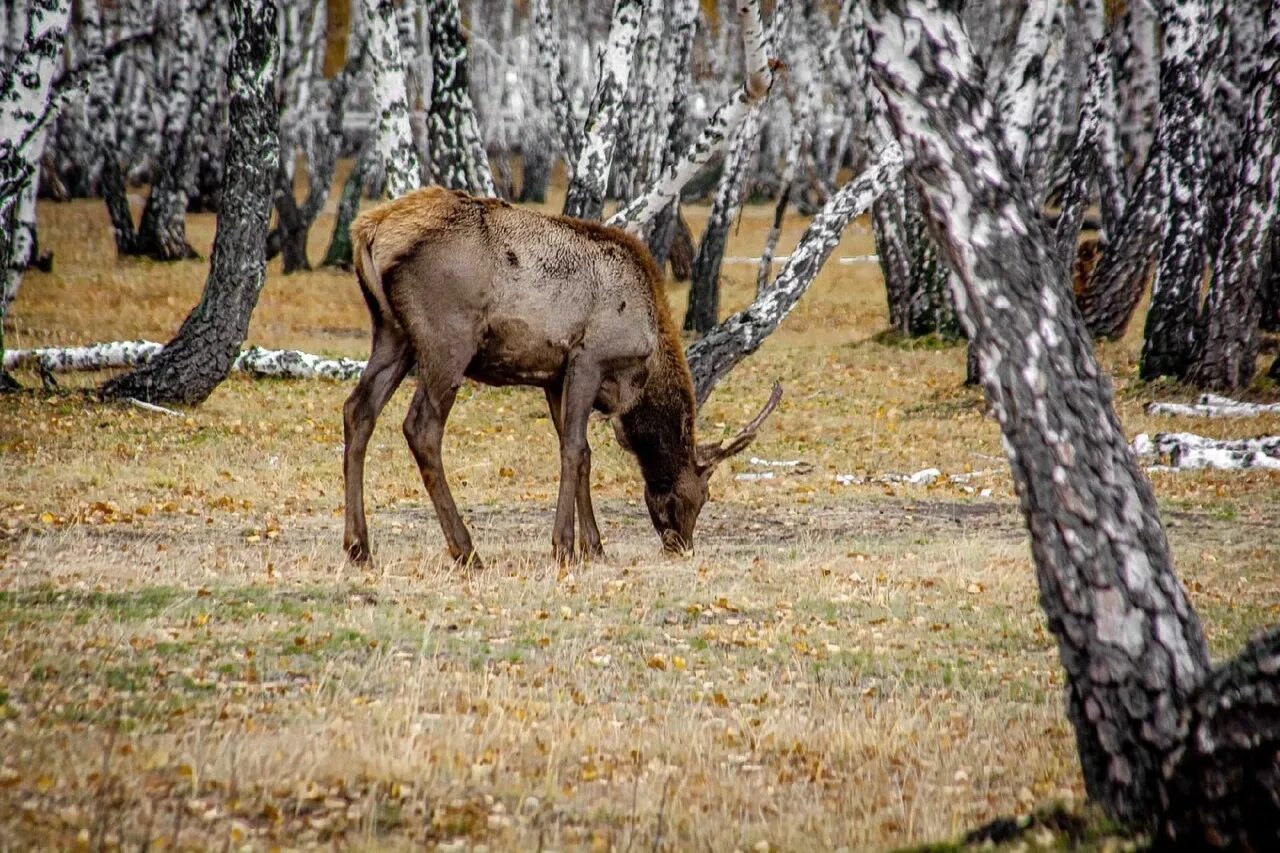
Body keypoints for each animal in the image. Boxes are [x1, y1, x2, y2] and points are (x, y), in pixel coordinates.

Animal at [343, 184, 778, 563]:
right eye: (701, 495)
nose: (682, 545)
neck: (642, 363)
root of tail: (369, 231)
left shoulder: (554, 375)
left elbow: (581, 453)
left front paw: (594, 545)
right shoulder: (589, 359)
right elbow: (575, 449)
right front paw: (564, 545)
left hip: (392, 333)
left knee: (358, 409)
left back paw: (358, 547)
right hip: (447, 338)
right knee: (421, 427)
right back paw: (466, 550)